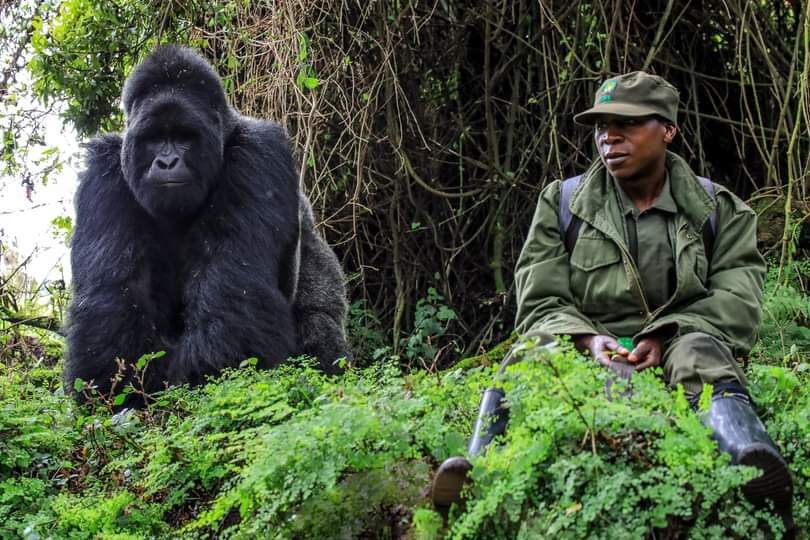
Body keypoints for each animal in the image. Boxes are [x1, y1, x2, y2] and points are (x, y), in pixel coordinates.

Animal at [64, 46, 348, 400]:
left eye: (184, 138)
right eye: (155, 139)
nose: (167, 161)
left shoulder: (258, 152)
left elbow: (233, 287)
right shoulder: (104, 169)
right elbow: (114, 293)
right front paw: (116, 387)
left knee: (320, 321)